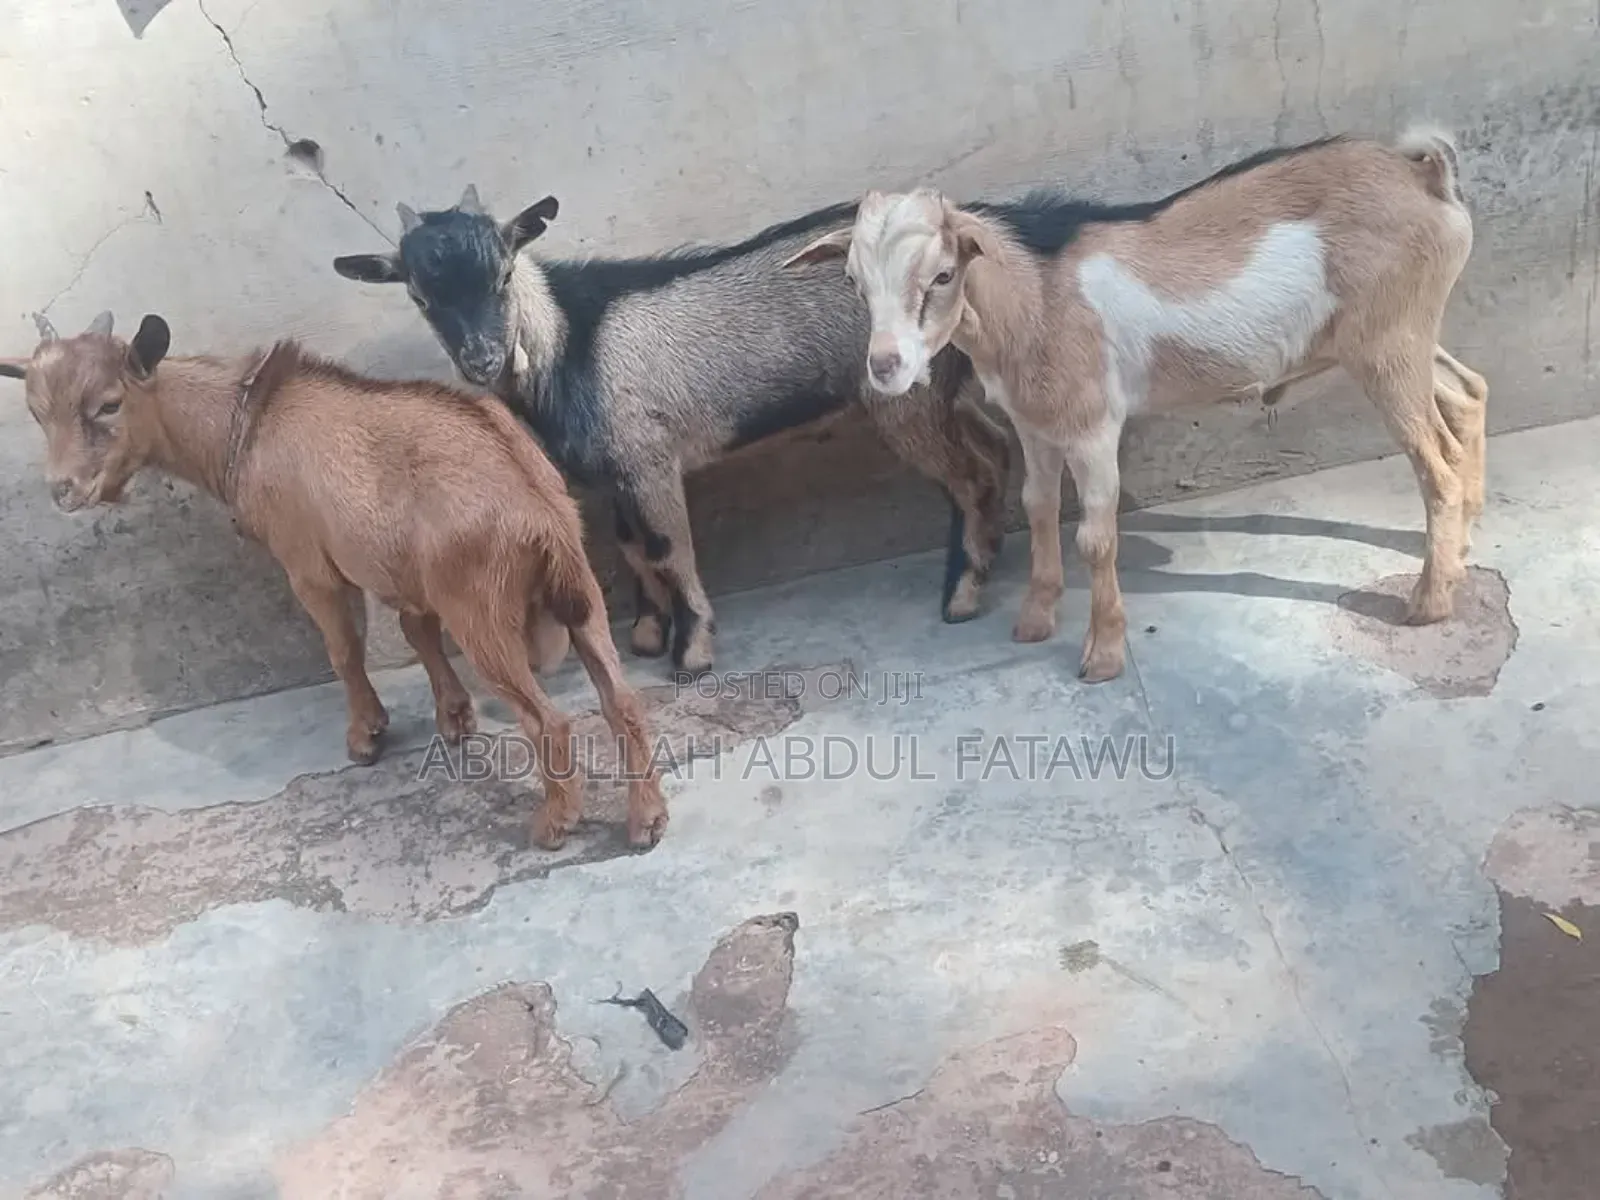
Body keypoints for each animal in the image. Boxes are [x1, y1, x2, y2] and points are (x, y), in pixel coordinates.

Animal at [0, 310, 669, 849]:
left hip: (479, 609)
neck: (246, 422)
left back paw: (555, 823)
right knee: (621, 699)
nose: (64, 490)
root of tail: (539, 513)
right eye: (36, 412)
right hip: (581, 591)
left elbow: (344, 650)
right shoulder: (402, 572)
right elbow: (415, 631)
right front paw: (454, 720)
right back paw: (647, 819)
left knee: (547, 720)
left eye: (108, 404)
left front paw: (367, 736)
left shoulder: (310, 564)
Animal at [330, 186, 1012, 675]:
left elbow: (664, 545)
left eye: (502, 275)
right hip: (948, 389)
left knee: (969, 476)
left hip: (905, 401)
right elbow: (630, 542)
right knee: (996, 449)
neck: (570, 343)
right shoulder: (617, 470)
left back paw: (962, 593)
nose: (481, 360)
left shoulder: (646, 456)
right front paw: (648, 632)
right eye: (420, 297)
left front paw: (691, 652)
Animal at [784, 130, 1488, 682]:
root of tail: (1424, 173)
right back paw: (1461, 545)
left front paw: (1102, 656)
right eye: (853, 282)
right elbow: (1038, 509)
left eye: (942, 275)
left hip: (1386, 345)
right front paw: (1034, 621)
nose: (886, 367)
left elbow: (1096, 538)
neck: (1035, 303)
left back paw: (1429, 601)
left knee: (1436, 462)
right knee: (1468, 395)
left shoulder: (1093, 425)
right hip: (1403, 336)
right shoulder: (1035, 425)